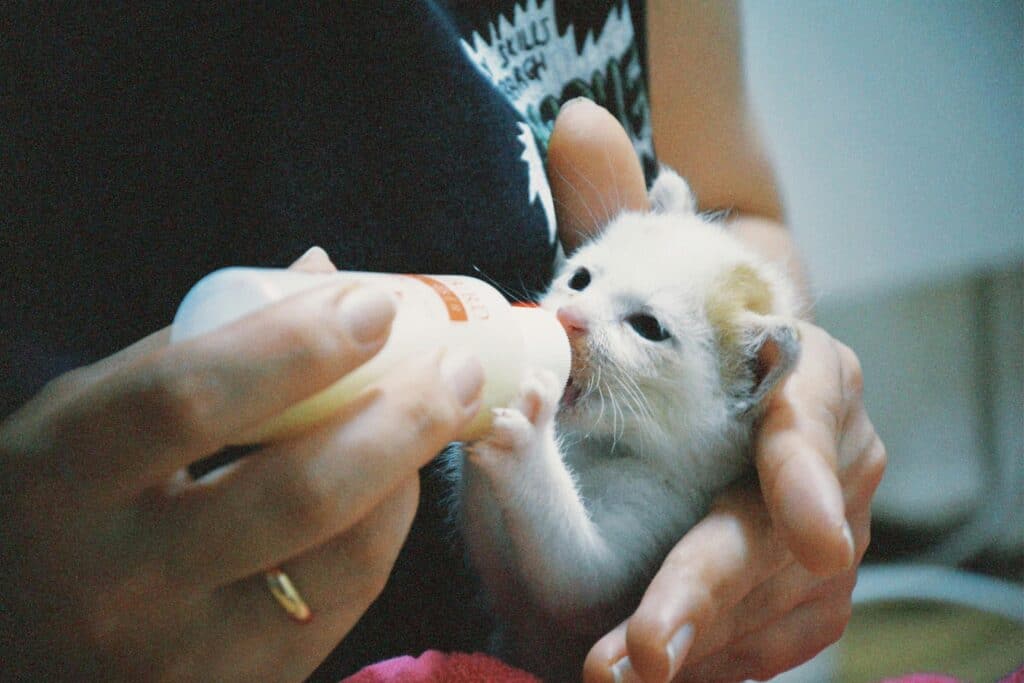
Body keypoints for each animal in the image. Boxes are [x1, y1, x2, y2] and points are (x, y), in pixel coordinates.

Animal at [454, 169, 798, 679]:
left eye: (647, 327)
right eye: (579, 279)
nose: (568, 317)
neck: (596, 444)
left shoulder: (660, 515)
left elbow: (573, 579)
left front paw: (525, 445)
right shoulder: (500, 578)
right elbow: (488, 546)